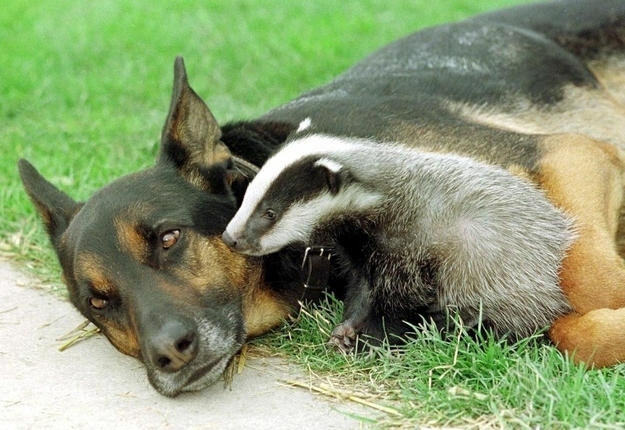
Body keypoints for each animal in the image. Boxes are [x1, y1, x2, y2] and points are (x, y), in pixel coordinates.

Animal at [17, 0, 624, 396]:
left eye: (169, 238)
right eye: (99, 302)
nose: (167, 355)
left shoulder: (569, 153)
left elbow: (585, 272)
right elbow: (561, 324)